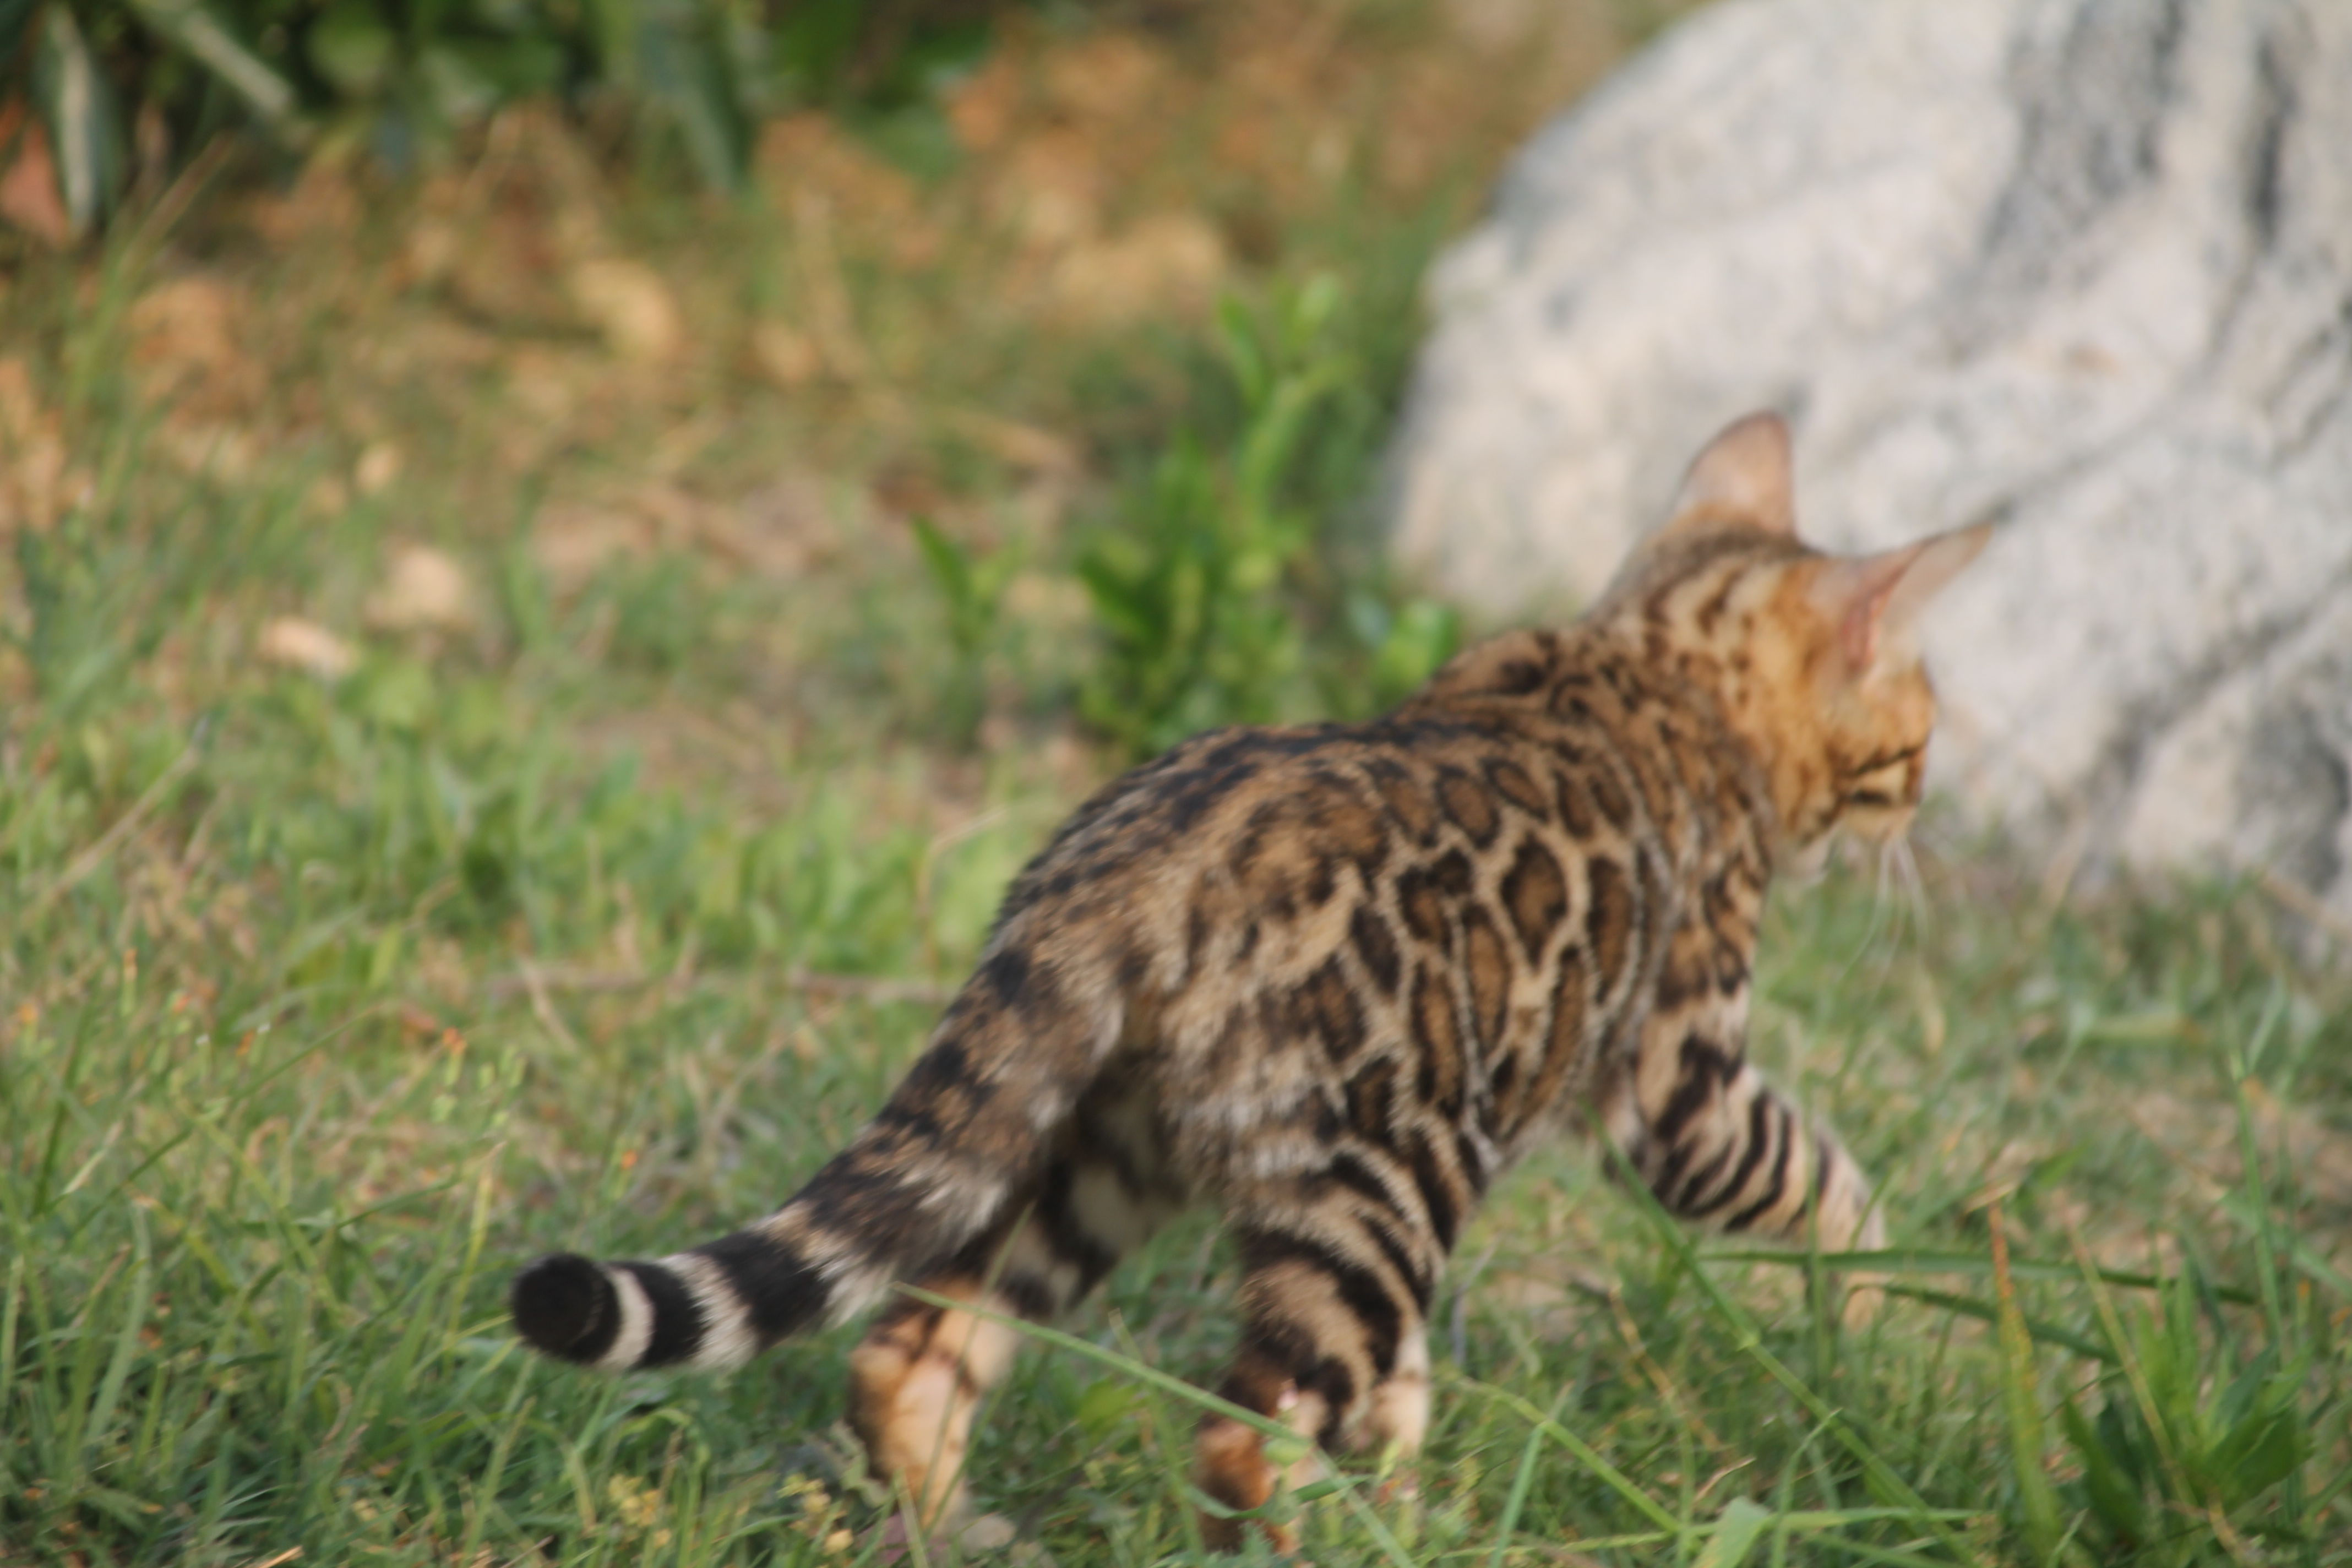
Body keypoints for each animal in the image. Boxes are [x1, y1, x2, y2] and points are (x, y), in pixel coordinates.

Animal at [510, 411, 1985, 1551]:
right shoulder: (1680, 1087)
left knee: (913, 1347)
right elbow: (1817, 1169)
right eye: (1918, 737)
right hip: (1371, 1189)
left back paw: (961, 1531)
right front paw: (1890, 1289)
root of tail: (1125, 859)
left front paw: (1403, 1489)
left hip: (1098, 1148)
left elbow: (1406, 1387)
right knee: (1238, 1437)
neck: (1658, 658)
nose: (1922, 808)